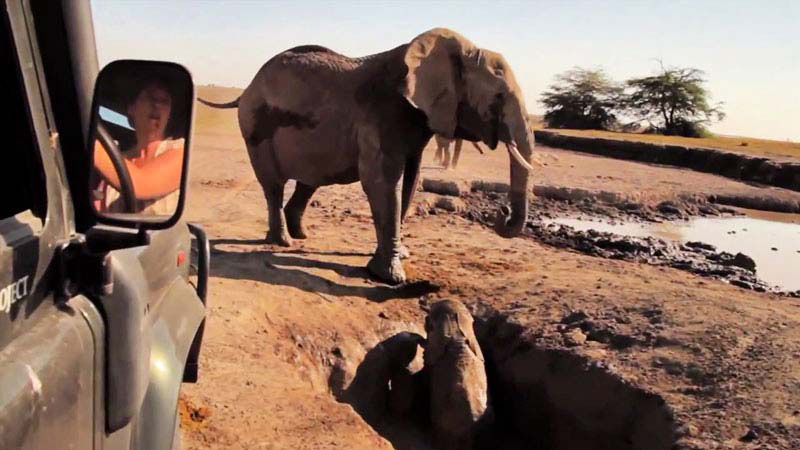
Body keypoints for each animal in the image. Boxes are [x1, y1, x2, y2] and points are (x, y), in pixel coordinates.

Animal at [199, 26, 536, 284]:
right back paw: (281, 241)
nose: (501, 212)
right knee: (273, 185)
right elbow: (382, 182)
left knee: (310, 180)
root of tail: (246, 89)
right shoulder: (382, 114)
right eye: (498, 97)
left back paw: (302, 235)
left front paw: (401, 256)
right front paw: (390, 277)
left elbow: (410, 181)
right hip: (256, 125)